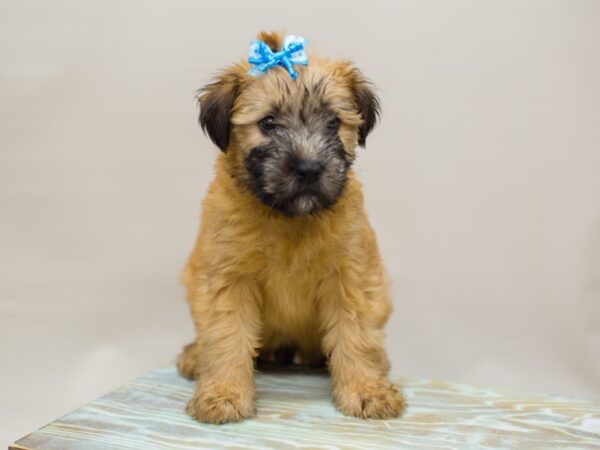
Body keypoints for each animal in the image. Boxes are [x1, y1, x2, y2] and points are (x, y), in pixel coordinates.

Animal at [176, 29, 406, 424]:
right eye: (268, 123)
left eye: (333, 123)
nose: (309, 169)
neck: (289, 219)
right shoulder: (228, 278)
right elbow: (225, 337)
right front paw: (223, 394)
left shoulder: (351, 276)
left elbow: (357, 335)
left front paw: (366, 390)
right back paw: (194, 356)